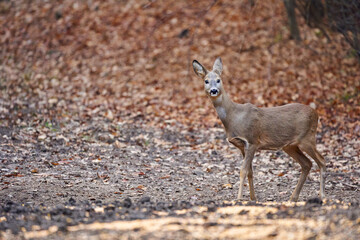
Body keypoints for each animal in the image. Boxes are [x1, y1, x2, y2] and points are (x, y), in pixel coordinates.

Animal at [193, 57, 324, 202]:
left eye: (218, 80)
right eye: (206, 81)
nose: (214, 90)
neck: (234, 117)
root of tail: (316, 114)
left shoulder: (252, 140)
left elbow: (243, 171)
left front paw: (239, 198)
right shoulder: (241, 145)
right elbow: (250, 171)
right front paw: (252, 197)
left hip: (307, 138)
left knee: (322, 161)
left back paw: (322, 195)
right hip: (290, 145)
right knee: (307, 164)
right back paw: (293, 198)